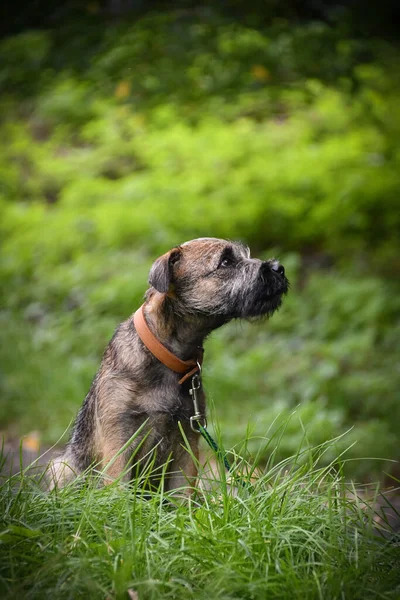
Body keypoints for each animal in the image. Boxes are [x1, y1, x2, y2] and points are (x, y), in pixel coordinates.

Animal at [50, 239, 288, 492]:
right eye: (226, 262)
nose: (279, 268)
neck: (166, 355)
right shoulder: (119, 443)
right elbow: (119, 491)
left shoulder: (187, 445)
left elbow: (181, 495)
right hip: (62, 467)